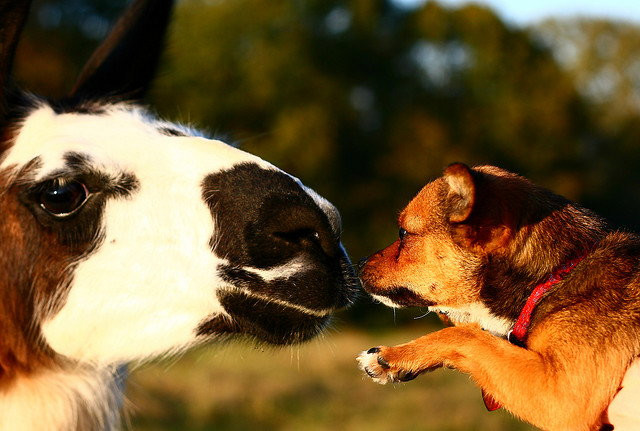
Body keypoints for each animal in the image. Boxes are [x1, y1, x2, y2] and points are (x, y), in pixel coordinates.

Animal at [358, 165, 640, 431]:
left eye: (403, 233)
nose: (359, 264)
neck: (557, 274)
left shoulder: (559, 394)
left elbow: (465, 336)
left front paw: (393, 355)